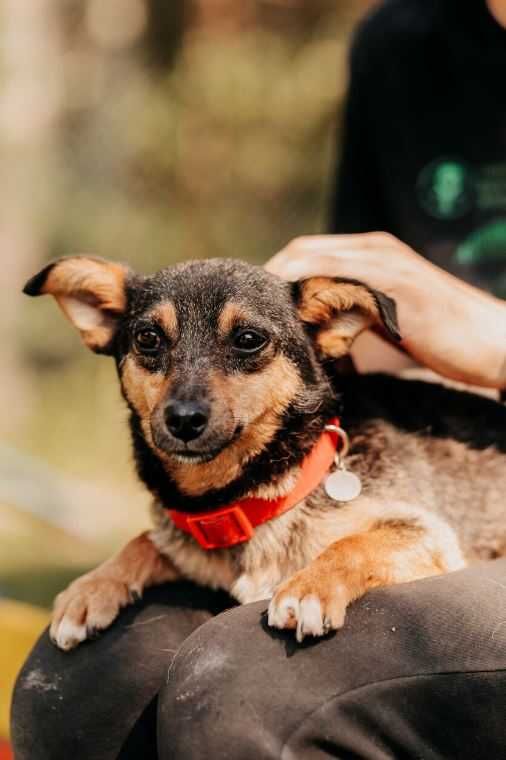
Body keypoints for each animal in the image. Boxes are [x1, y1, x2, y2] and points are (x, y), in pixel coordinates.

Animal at [23, 254, 506, 648]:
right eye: (148, 338)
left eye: (249, 338)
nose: (183, 419)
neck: (242, 498)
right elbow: (145, 540)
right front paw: (91, 588)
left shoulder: (428, 533)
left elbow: (352, 543)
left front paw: (309, 588)